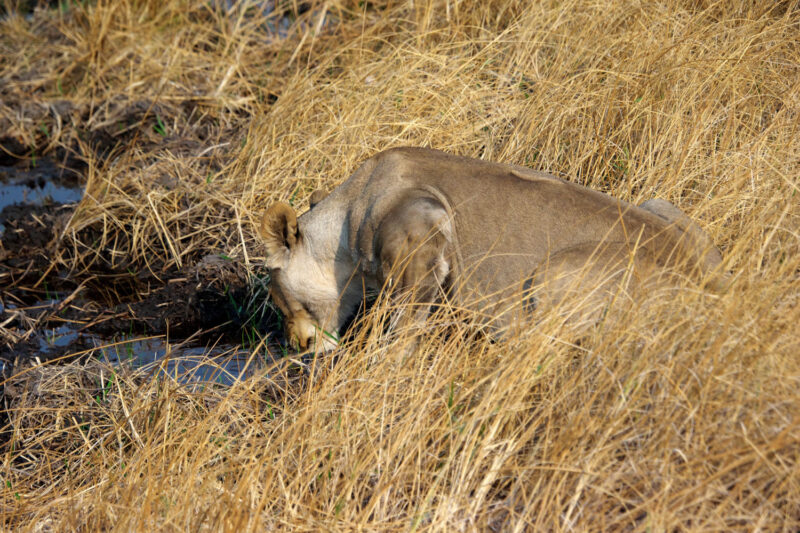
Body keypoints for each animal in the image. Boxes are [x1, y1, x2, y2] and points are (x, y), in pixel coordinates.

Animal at [258, 148, 724, 352]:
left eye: (277, 297)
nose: (296, 344)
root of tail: (713, 292)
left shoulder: (422, 231)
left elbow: (403, 329)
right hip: (662, 205)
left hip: (556, 272)